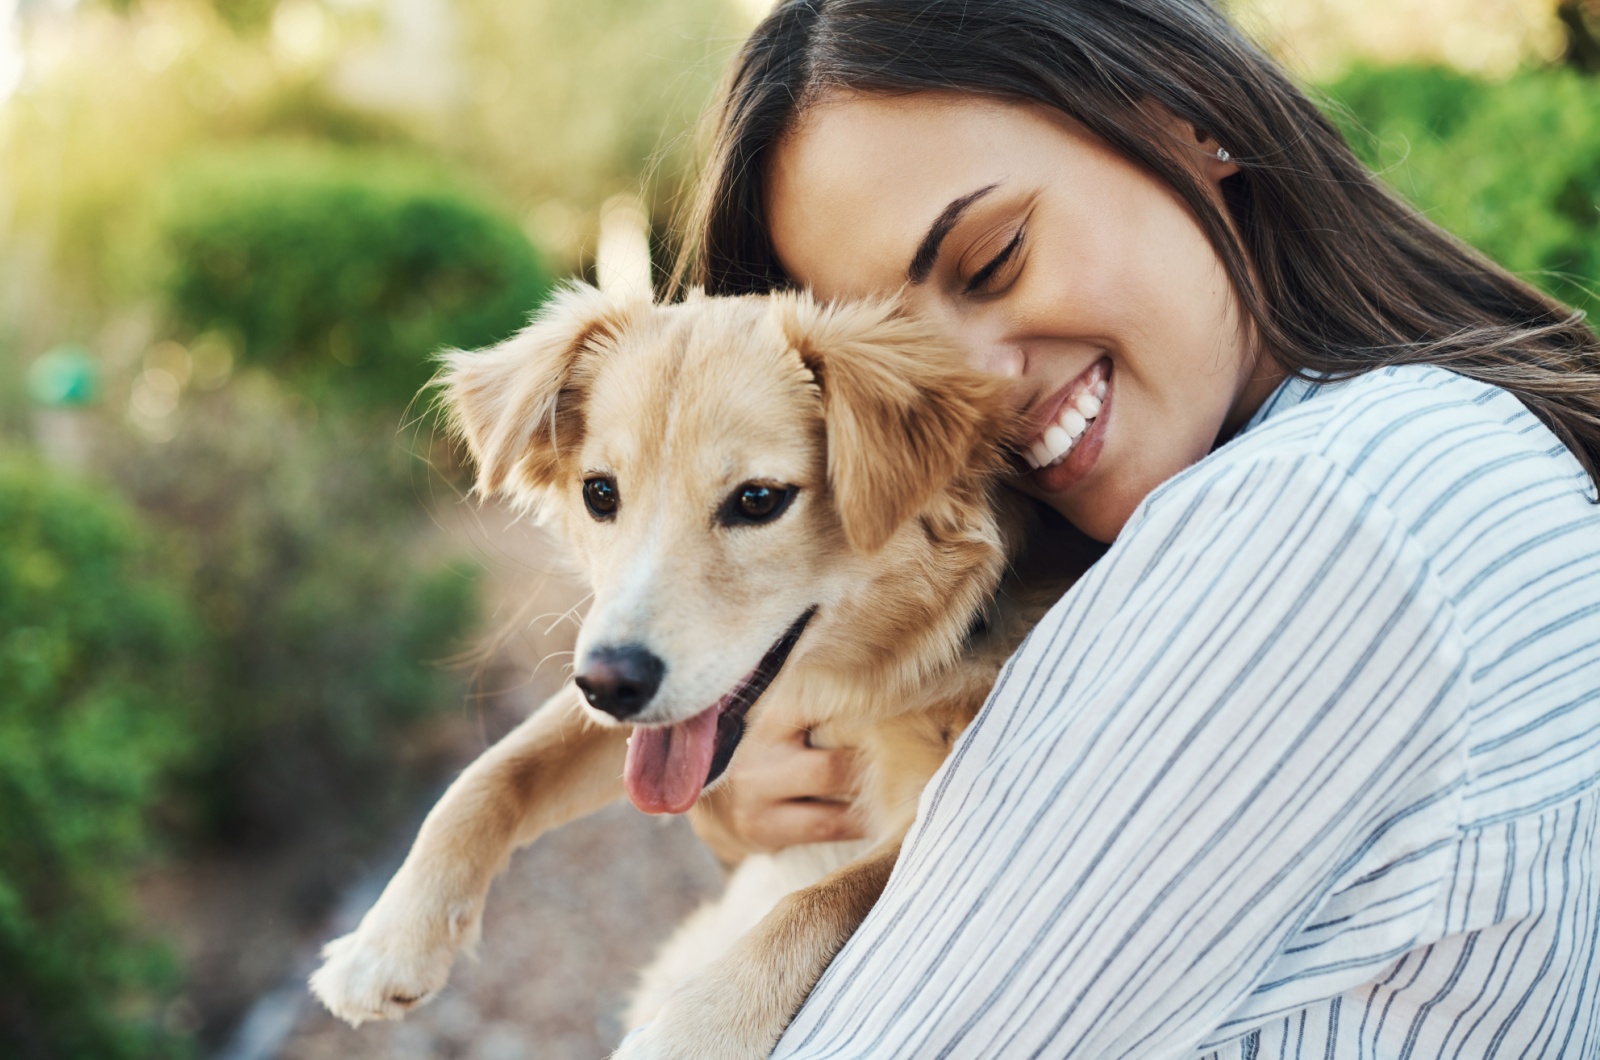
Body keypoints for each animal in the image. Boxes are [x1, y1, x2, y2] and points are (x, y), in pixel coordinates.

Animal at [308, 285, 1088, 1060]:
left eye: (758, 499)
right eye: (599, 493)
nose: (609, 686)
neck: (866, 679)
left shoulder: (931, 810)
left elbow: (824, 897)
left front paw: (697, 1028)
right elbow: (493, 773)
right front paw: (389, 941)